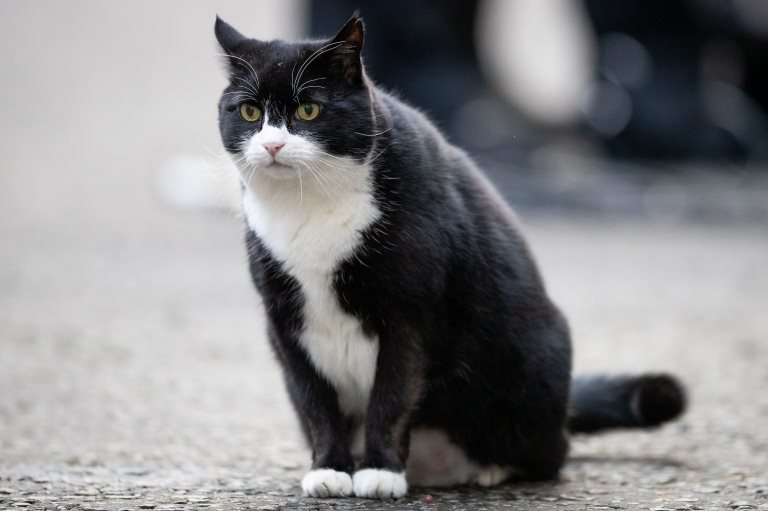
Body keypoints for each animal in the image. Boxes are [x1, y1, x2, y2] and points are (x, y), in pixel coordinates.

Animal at [212, 13, 684, 500]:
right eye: (249, 112)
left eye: (308, 110)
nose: (272, 146)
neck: (308, 206)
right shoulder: (284, 321)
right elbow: (315, 404)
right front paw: (329, 468)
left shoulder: (409, 316)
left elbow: (391, 398)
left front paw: (379, 471)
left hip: (535, 373)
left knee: (552, 454)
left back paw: (491, 469)